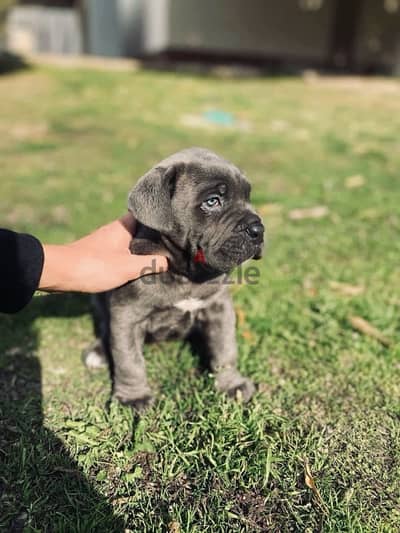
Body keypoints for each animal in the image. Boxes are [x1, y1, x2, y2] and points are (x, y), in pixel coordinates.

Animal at [83, 147, 264, 412]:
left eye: (248, 197)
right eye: (212, 201)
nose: (258, 229)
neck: (186, 274)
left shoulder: (219, 309)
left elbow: (225, 349)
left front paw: (231, 384)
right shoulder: (127, 316)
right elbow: (129, 360)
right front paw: (133, 397)